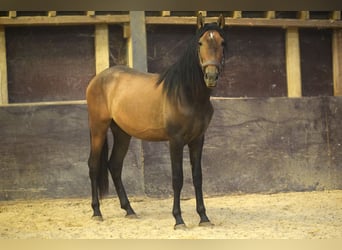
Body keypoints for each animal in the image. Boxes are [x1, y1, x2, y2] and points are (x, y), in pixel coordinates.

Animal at [85, 13, 224, 229]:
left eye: (222, 42)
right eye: (200, 43)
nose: (211, 76)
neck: (186, 94)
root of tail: (98, 78)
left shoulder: (197, 140)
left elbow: (197, 177)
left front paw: (204, 217)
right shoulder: (175, 141)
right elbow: (177, 178)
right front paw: (178, 220)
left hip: (122, 133)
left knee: (114, 166)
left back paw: (129, 210)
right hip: (98, 128)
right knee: (93, 165)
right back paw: (97, 212)